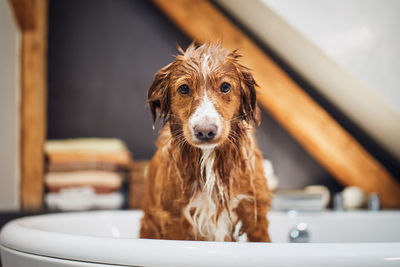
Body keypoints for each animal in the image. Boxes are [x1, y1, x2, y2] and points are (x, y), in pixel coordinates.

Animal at [141, 43, 272, 243]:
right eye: (184, 89)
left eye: (225, 86)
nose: (205, 131)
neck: (210, 161)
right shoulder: (173, 219)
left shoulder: (255, 213)